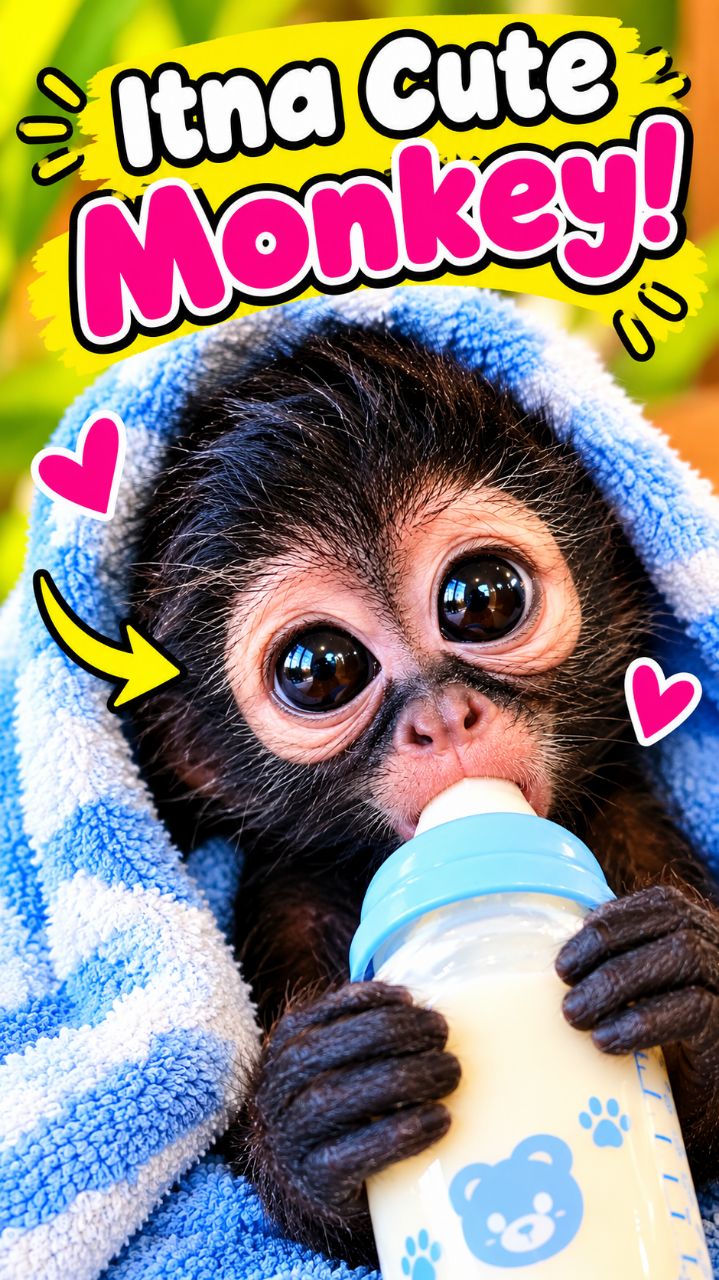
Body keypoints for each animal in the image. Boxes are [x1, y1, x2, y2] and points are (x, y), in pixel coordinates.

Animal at [130, 321, 719, 1267]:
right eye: (319, 670)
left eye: (481, 597)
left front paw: (682, 985)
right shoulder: (289, 897)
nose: (442, 719)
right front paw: (324, 1112)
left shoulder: (628, 820)